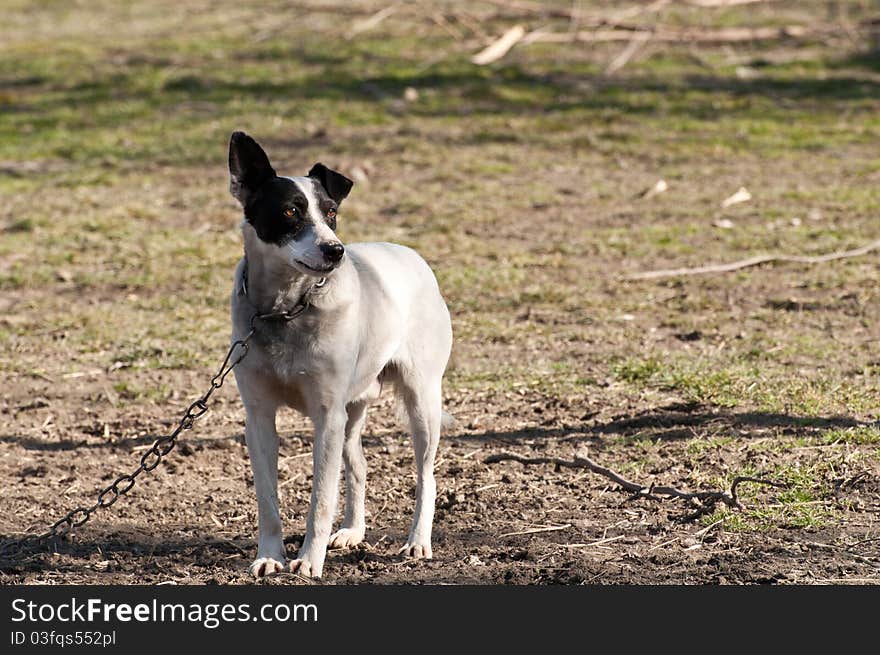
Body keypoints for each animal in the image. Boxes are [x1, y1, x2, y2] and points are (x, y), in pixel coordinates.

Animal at [227, 132, 454, 580]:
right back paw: (352, 531)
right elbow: (268, 500)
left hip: (420, 403)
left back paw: (417, 541)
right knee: (360, 467)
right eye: (291, 211)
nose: (336, 251)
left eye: (331, 213)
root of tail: (410, 254)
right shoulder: (259, 418)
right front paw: (270, 555)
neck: (286, 310)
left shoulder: (325, 417)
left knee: (426, 474)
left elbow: (321, 499)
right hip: (351, 413)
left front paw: (309, 561)